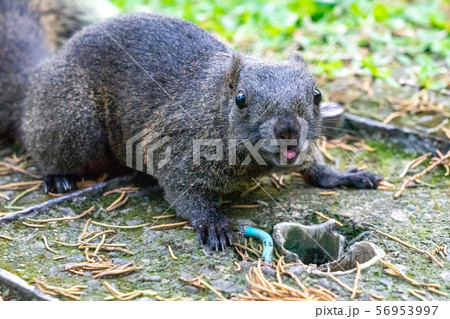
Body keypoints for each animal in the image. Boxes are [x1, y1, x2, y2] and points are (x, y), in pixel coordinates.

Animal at [0, 0, 382, 250]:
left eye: (317, 94)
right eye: (241, 99)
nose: (289, 130)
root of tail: (36, 81)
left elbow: (314, 165)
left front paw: (343, 175)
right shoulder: (178, 146)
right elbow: (186, 192)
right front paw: (212, 223)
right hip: (74, 123)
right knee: (44, 145)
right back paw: (58, 176)